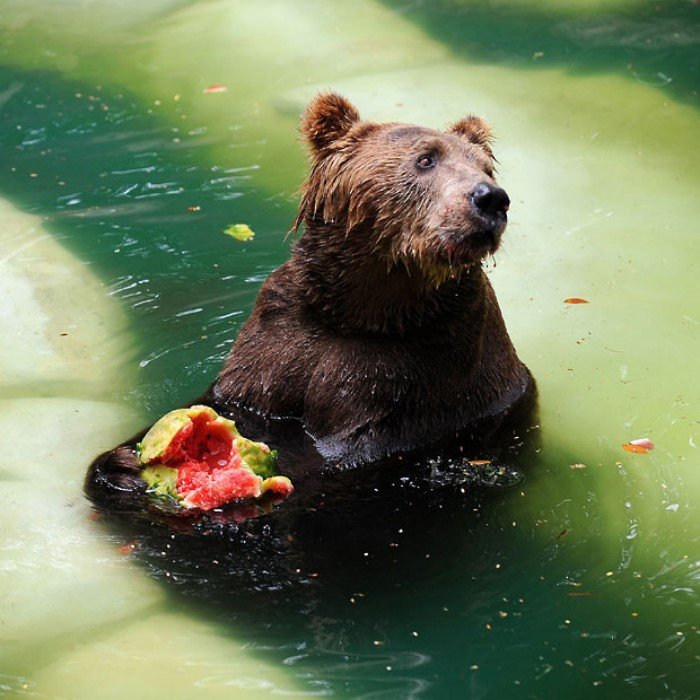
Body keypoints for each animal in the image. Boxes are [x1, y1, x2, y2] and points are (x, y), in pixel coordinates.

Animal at [87, 93, 536, 506]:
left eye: (483, 166)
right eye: (426, 159)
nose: (490, 198)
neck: (365, 309)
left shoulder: (419, 367)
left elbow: (345, 448)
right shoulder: (282, 336)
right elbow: (238, 400)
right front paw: (121, 462)